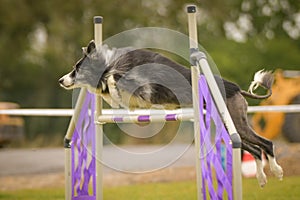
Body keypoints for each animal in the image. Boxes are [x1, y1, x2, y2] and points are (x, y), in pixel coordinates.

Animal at [59, 39, 282, 187]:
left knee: (265, 144)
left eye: (77, 69)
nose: (61, 80)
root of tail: (237, 89)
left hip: (232, 123)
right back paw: (263, 178)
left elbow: (116, 80)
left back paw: (277, 172)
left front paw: (112, 90)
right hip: (228, 128)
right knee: (256, 149)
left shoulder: (140, 83)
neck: (107, 63)